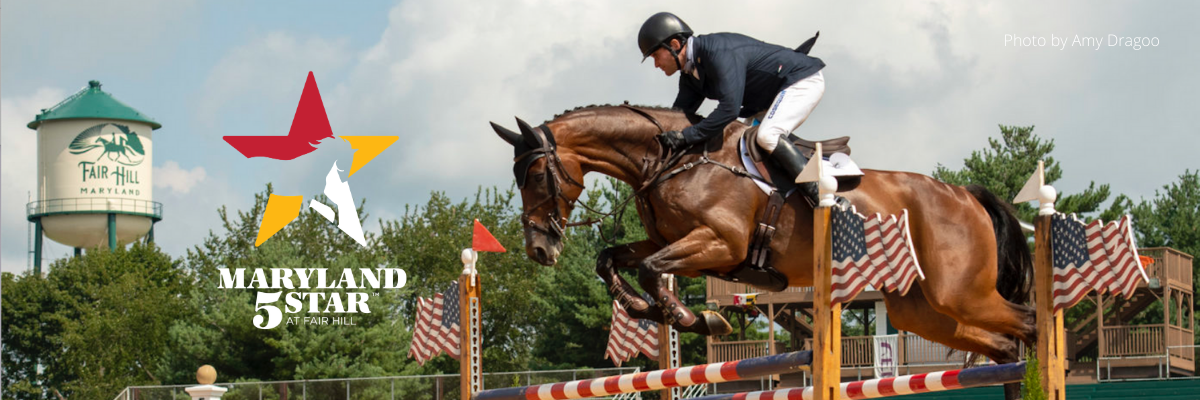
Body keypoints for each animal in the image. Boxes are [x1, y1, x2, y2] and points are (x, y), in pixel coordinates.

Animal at [492, 104, 1036, 365]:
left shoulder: (720, 243)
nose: (539, 248)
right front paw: (648, 309)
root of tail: (965, 194)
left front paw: (696, 318)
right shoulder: (673, 241)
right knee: (1003, 344)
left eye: (535, 175)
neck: (672, 159)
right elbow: (611, 260)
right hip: (920, 308)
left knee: (1028, 321)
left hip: (959, 292)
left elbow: (649, 269)